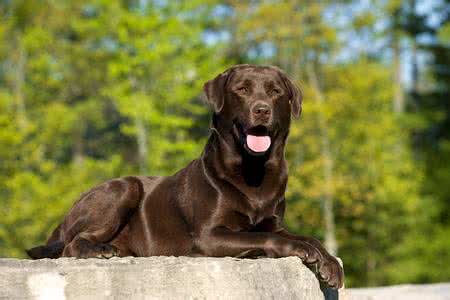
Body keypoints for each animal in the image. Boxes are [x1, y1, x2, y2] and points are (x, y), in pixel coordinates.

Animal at [27, 63, 344, 288]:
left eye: (275, 91)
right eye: (242, 89)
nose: (262, 109)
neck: (253, 170)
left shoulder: (274, 223)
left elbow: (307, 237)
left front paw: (328, 263)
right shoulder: (209, 235)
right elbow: (267, 237)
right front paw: (300, 249)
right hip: (122, 188)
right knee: (72, 244)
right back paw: (101, 250)